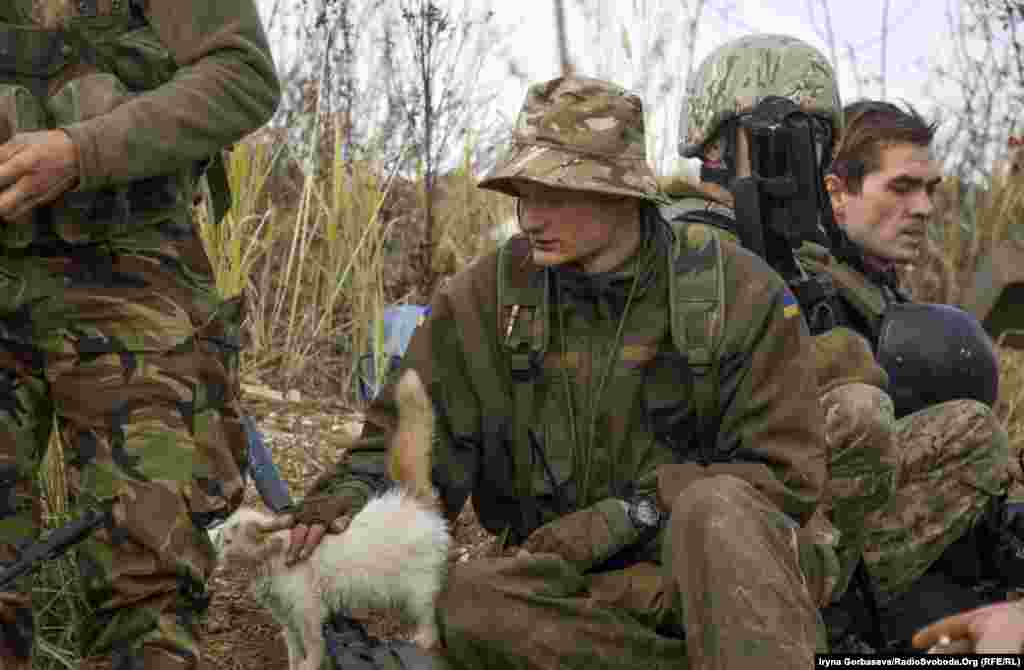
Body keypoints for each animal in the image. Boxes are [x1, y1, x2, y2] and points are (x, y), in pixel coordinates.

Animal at [211, 370, 448, 670]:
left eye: (228, 540)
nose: (217, 549)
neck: (266, 567)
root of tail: (412, 499)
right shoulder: (286, 618)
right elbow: (292, 645)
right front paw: (294, 663)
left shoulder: (306, 611)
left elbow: (313, 646)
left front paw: (309, 665)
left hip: (419, 586)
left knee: (429, 617)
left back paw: (421, 641)